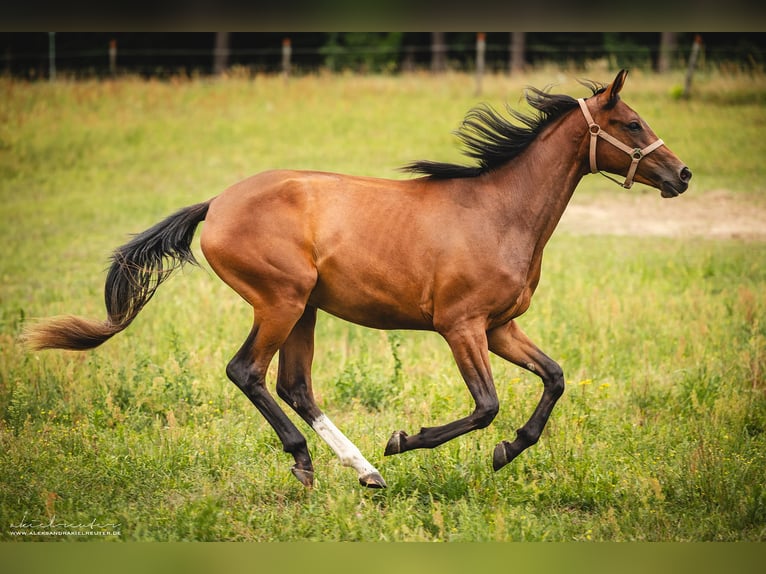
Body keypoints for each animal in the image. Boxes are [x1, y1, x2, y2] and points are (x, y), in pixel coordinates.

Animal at [25, 68, 696, 490]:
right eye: (632, 124)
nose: (682, 174)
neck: (499, 212)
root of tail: (216, 204)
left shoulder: (500, 328)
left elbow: (554, 378)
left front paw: (508, 451)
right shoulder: (461, 328)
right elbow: (486, 406)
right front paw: (406, 439)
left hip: (305, 309)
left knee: (295, 386)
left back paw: (364, 472)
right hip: (280, 302)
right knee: (247, 372)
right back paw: (315, 462)